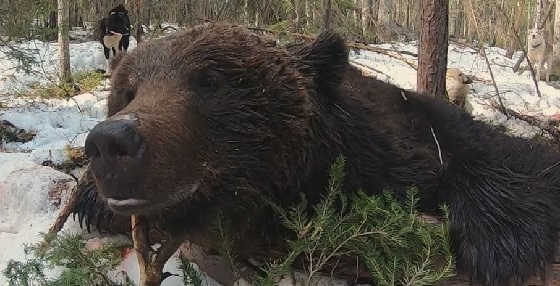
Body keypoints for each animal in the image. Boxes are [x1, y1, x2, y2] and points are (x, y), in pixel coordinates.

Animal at [76, 22, 560, 286]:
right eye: (128, 91)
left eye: (209, 81)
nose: (111, 142)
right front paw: (91, 201)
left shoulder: (407, 142)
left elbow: (510, 161)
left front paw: (502, 246)